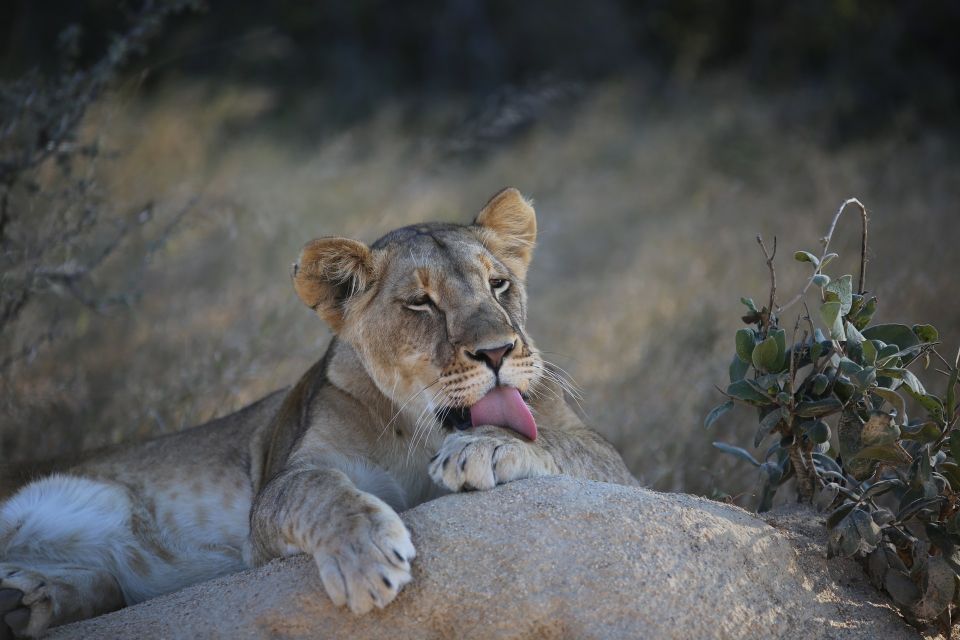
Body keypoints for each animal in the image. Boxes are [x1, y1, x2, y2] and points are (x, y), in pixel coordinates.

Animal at [0, 188, 636, 637]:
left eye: (500, 284)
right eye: (420, 303)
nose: (500, 351)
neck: (420, 432)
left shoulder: (609, 462)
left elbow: (563, 444)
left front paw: (489, 447)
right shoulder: (279, 490)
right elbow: (319, 491)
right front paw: (366, 558)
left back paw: (26, 601)